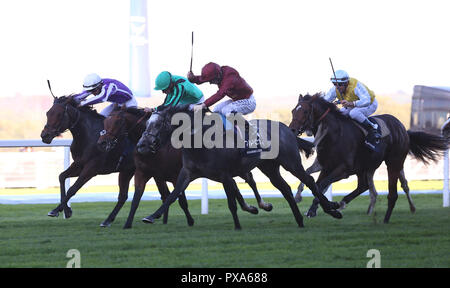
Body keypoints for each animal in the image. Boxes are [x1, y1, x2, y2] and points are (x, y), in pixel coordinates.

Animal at [40, 95, 135, 225]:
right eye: (48, 113)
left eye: (59, 114)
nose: (44, 135)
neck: (89, 136)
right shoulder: (79, 164)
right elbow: (62, 176)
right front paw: (61, 210)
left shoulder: (92, 168)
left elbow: (72, 189)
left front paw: (63, 210)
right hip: (127, 171)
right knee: (123, 196)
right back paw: (108, 220)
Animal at [97, 104, 274, 228]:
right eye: (105, 121)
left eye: (117, 121)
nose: (102, 142)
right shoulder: (148, 173)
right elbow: (142, 197)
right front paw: (126, 222)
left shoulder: (172, 174)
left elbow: (178, 198)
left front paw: (188, 220)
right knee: (243, 182)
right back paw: (253, 207)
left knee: (249, 181)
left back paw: (260, 205)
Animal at [136, 104, 342, 230]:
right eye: (146, 124)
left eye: (158, 124)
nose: (141, 145)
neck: (200, 140)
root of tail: (286, 129)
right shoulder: (187, 173)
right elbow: (172, 196)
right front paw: (151, 216)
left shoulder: (225, 175)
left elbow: (232, 203)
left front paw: (237, 225)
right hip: (269, 168)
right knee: (285, 188)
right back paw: (299, 219)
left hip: (291, 162)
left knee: (309, 180)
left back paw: (332, 209)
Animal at [288, 93, 446, 223]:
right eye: (293, 110)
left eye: (305, 111)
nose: (292, 130)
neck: (334, 134)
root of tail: (403, 129)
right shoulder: (326, 166)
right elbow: (315, 182)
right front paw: (310, 206)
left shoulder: (343, 170)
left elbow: (321, 185)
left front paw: (321, 207)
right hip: (365, 166)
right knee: (363, 185)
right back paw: (342, 203)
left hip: (393, 162)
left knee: (392, 190)